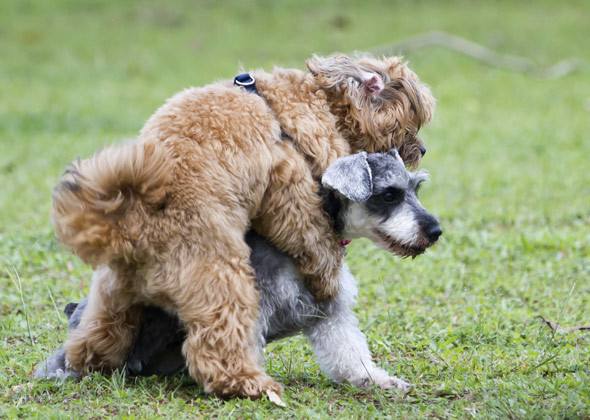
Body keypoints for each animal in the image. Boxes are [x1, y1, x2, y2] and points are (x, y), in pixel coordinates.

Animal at [35, 150, 444, 390]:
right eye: (389, 194)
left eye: (416, 188)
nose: (435, 230)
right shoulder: (254, 304)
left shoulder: (330, 312)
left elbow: (349, 352)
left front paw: (377, 380)